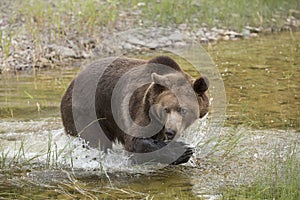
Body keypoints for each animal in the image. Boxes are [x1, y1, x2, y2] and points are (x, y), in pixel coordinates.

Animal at [60, 55, 209, 165]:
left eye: (183, 109)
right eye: (165, 109)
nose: (170, 131)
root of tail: (70, 86)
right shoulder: (141, 107)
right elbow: (135, 141)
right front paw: (183, 150)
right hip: (88, 111)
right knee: (95, 140)